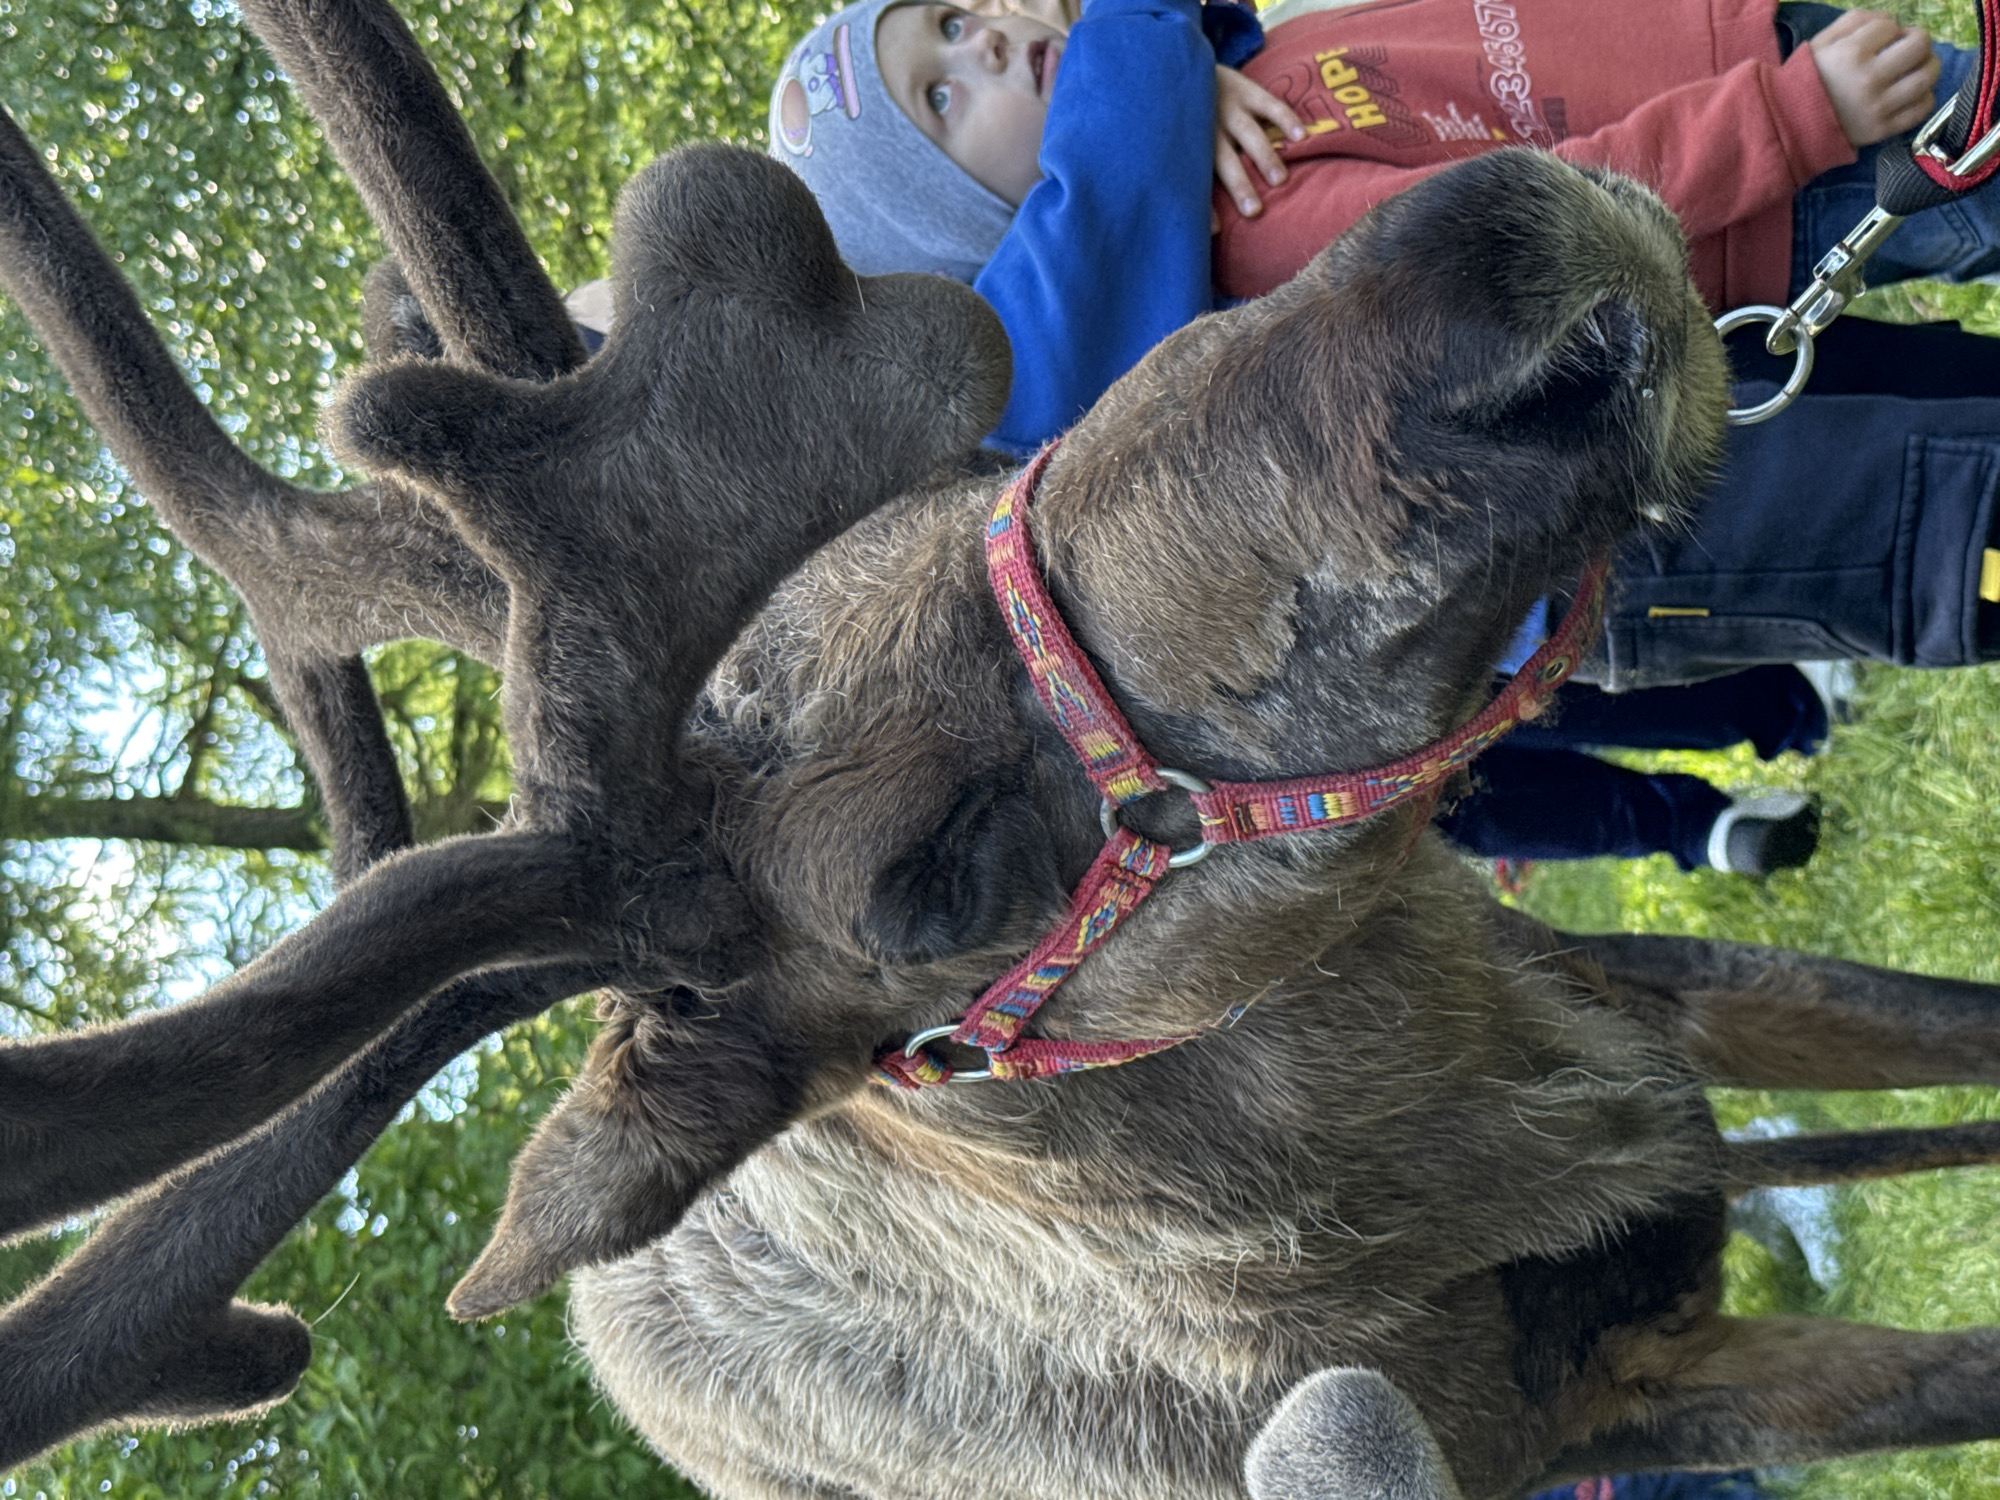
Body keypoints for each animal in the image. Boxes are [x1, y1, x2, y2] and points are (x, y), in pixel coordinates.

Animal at [9, 1, 2000, 1496]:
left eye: (971, 452)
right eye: (923, 878)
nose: (1485, 249)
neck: (1474, 1158)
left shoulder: (1651, 992)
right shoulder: (1620, 1395)